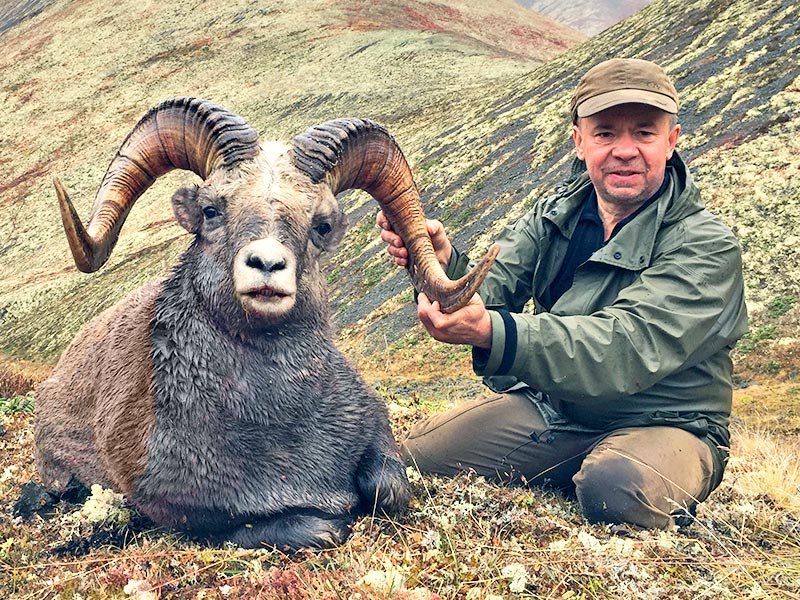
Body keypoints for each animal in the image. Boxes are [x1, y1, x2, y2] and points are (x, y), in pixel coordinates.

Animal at [34, 97, 498, 550]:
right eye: (211, 210)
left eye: (321, 225)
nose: (267, 265)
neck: (277, 418)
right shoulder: (181, 506)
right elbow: (309, 529)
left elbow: (390, 491)